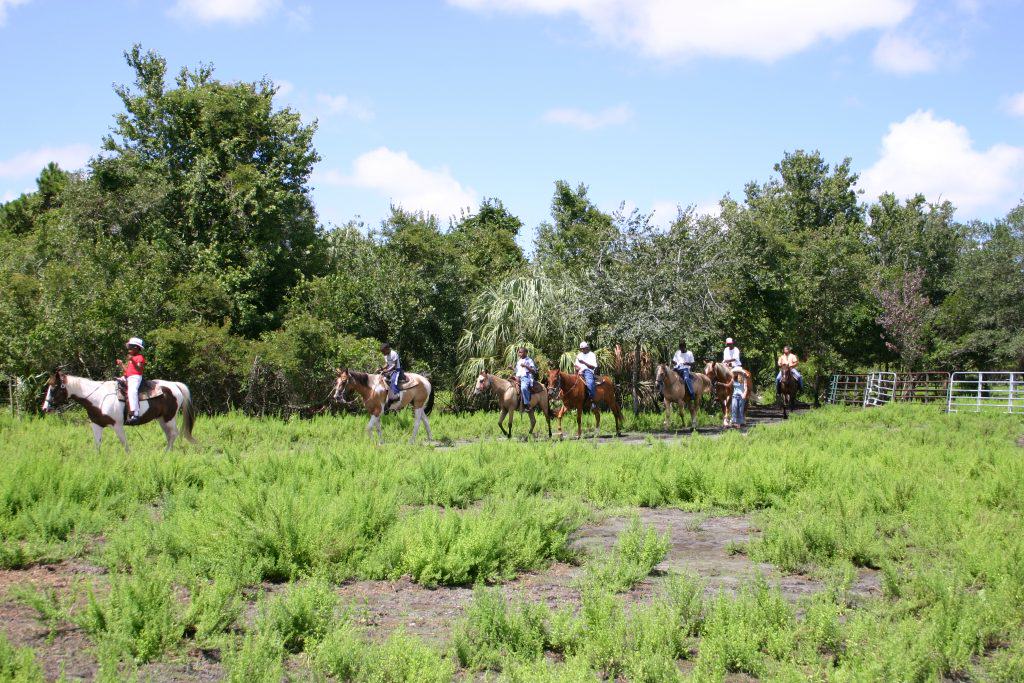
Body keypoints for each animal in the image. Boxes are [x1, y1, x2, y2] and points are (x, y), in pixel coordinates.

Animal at [40, 368, 195, 454]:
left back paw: (166, 453)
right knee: (169, 435)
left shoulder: (117, 425)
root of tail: (175, 385)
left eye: (54, 387)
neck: (98, 398)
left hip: (170, 418)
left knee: (173, 434)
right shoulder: (96, 425)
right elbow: (97, 445)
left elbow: (124, 445)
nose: (45, 408)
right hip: (161, 419)